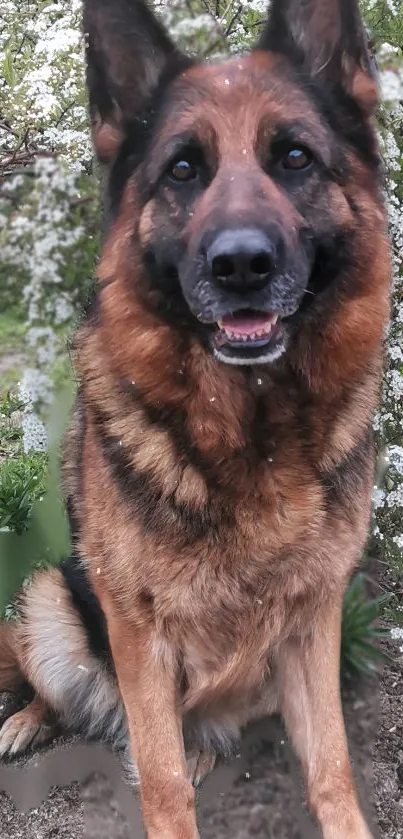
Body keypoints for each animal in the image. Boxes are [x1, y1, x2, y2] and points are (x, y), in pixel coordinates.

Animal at [0, 0, 392, 836]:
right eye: (182, 169)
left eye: (295, 158)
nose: (240, 264)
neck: (252, 431)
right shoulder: (137, 629)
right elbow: (161, 781)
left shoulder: (314, 618)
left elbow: (331, 766)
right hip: (52, 596)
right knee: (80, 698)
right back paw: (28, 718)